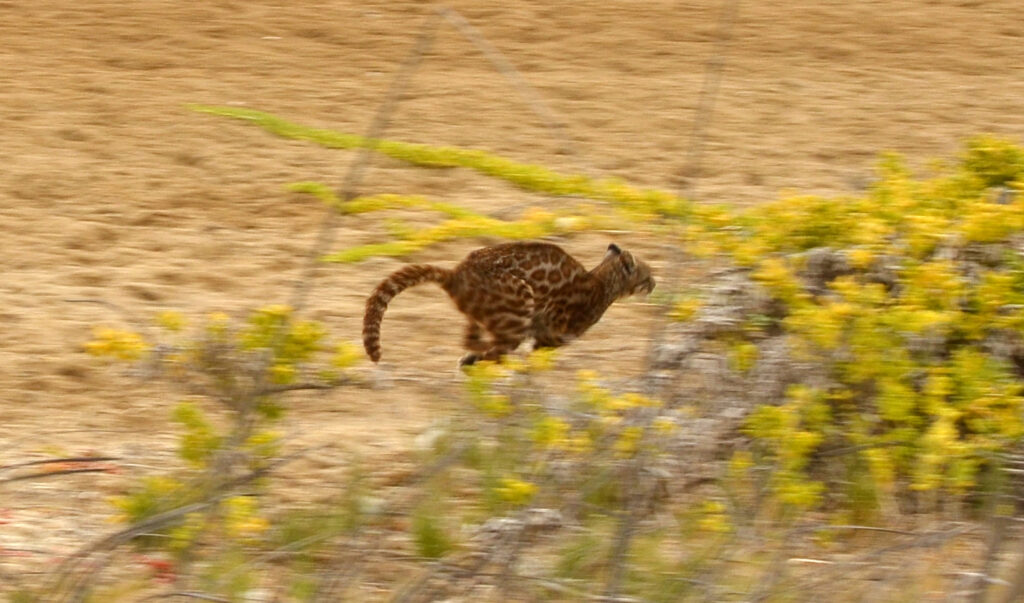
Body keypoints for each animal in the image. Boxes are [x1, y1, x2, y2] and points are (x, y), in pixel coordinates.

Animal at [362, 240, 655, 364]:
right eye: (648, 274)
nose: (655, 284)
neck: (602, 282)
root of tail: (456, 272)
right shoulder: (550, 338)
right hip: (520, 301)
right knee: (496, 349)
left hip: (483, 315)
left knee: (473, 341)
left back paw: (474, 355)